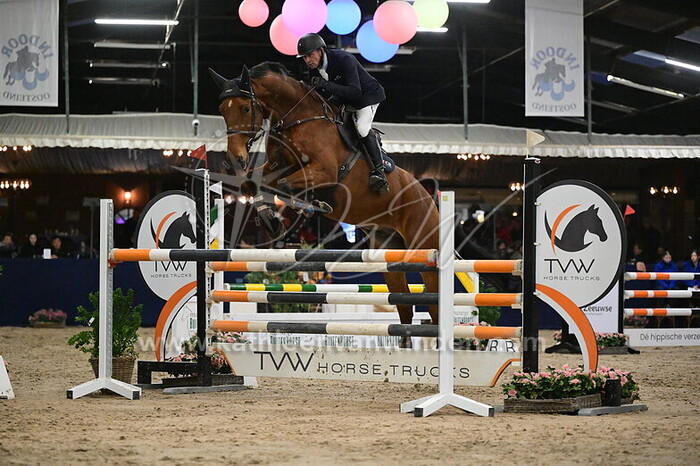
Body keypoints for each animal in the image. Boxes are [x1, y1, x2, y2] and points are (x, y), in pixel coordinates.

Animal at [209, 62, 442, 330]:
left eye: (246, 108)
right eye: (222, 110)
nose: (235, 158)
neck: (297, 118)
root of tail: (428, 199)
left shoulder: (323, 172)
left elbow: (286, 186)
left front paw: (312, 205)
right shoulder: (278, 166)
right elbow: (253, 184)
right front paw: (273, 222)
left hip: (424, 250)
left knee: (434, 306)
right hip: (389, 254)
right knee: (404, 308)